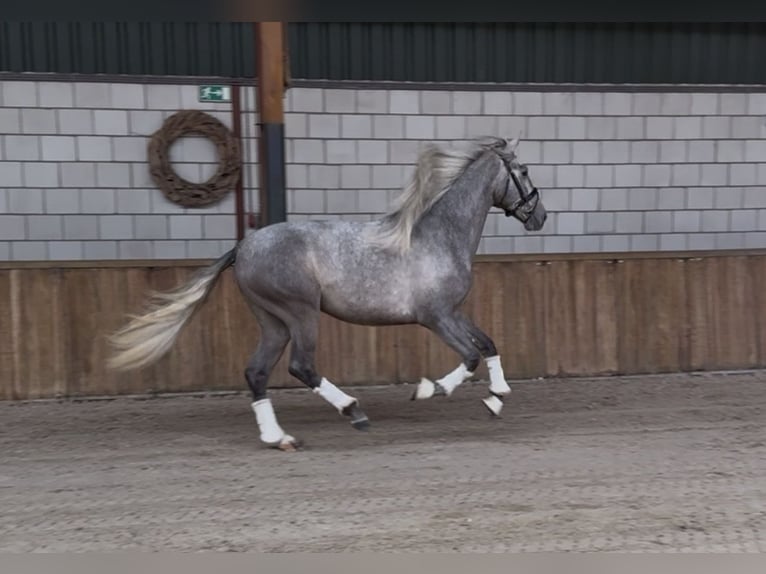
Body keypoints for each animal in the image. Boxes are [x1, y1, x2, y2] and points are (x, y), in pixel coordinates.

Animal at [106, 136, 548, 451]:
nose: (540, 217)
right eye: (524, 171)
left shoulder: (454, 312)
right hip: (300, 313)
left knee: (257, 372)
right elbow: (471, 356)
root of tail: (244, 247)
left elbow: (488, 344)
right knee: (301, 366)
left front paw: (497, 398)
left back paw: (279, 438)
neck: (438, 236)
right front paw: (429, 390)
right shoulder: (435, 316)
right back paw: (352, 411)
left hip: (273, 321)